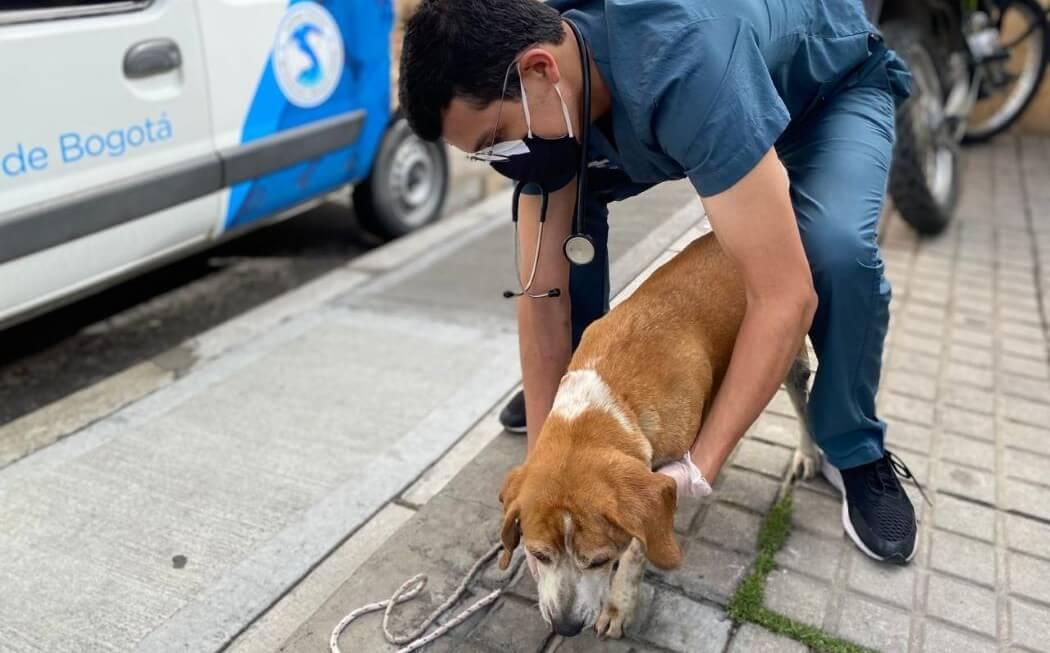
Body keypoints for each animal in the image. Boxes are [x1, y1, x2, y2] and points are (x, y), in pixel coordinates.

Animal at [495, 229, 814, 638]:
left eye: (598, 560)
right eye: (538, 555)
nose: (565, 627)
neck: (609, 399)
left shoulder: (656, 489)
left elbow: (638, 547)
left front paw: (619, 604)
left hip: (792, 357)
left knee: (806, 410)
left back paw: (808, 454)